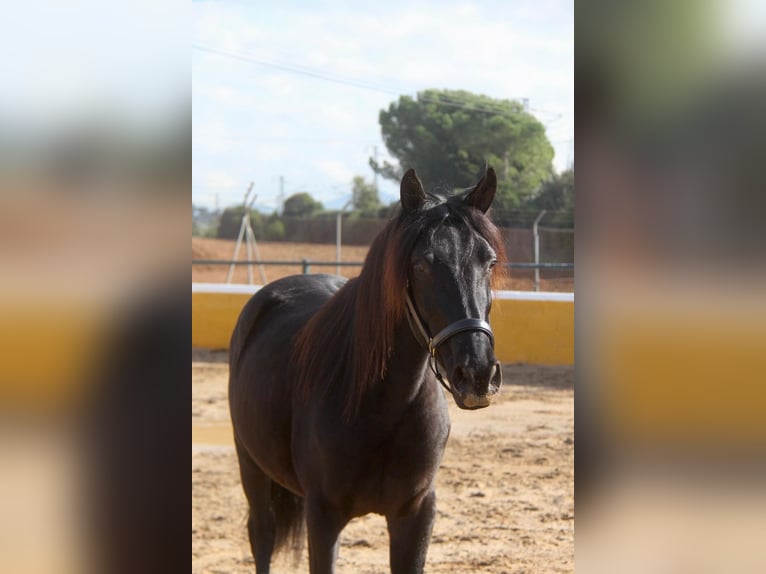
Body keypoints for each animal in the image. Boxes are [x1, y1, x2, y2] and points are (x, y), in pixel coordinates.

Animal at [228, 166, 505, 574]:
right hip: (251, 466)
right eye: (422, 265)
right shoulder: (323, 516)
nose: (477, 374)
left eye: (489, 262)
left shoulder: (415, 513)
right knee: (262, 535)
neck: (380, 404)